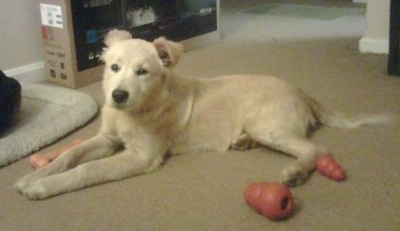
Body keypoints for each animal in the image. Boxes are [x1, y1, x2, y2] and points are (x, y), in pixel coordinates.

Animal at [14, 28, 388, 199]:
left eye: (143, 72)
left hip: (265, 123)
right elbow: (70, 155)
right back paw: (242, 143)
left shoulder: (141, 156)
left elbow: (86, 169)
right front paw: (34, 176)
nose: (117, 96)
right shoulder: (106, 138)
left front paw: (43, 187)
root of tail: (299, 89)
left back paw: (295, 172)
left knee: (316, 148)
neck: (136, 109)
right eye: (113, 67)